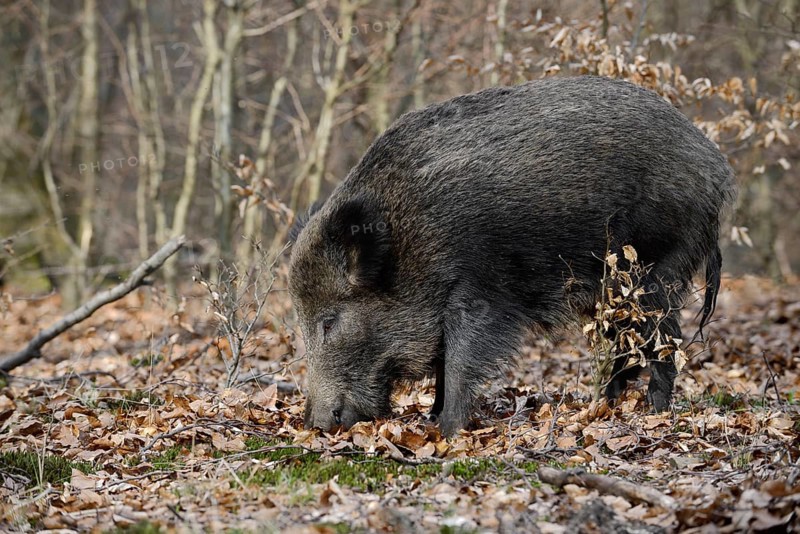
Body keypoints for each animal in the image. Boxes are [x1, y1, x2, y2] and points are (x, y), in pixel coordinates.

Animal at [289, 75, 735, 436]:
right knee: (628, 345)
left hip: (653, 268)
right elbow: (443, 363)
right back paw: (606, 405)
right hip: (616, 288)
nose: (316, 423)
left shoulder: (480, 293)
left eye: (330, 321)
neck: (411, 242)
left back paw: (655, 412)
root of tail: (717, 171)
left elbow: (458, 362)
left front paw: (447, 430)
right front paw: (433, 418)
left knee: (664, 339)